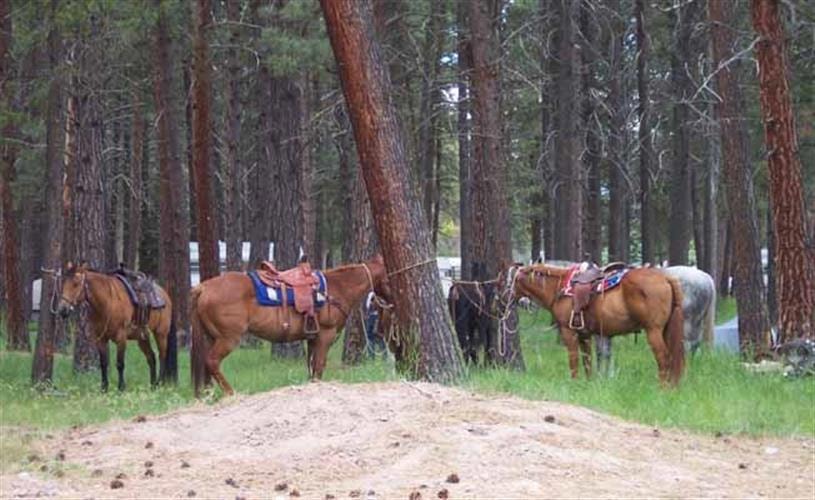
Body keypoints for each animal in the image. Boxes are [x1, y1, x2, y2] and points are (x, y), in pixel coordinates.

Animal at [56, 262, 177, 391]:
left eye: (76, 284)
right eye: (63, 283)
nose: (62, 309)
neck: (107, 303)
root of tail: (165, 295)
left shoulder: (121, 338)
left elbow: (120, 364)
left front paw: (121, 388)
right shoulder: (100, 339)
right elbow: (103, 363)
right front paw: (104, 388)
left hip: (161, 334)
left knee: (162, 356)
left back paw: (160, 383)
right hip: (142, 337)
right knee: (151, 357)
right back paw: (152, 386)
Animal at [190, 255, 389, 397]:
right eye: (388, 278)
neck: (336, 288)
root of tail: (203, 287)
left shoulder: (312, 338)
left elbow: (311, 368)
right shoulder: (325, 335)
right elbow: (319, 366)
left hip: (211, 337)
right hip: (228, 338)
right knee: (212, 361)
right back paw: (231, 393)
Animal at [510, 262, 686, 385]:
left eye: (512, 280)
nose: (509, 297)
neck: (559, 288)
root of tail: (665, 278)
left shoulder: (568, 332)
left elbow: (573, 359)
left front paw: (574, 382)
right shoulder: (584, 334)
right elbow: (587, 360)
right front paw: (587, 383)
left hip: (653, 331)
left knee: (664, 358)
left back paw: (662, 388)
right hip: (666, 330)